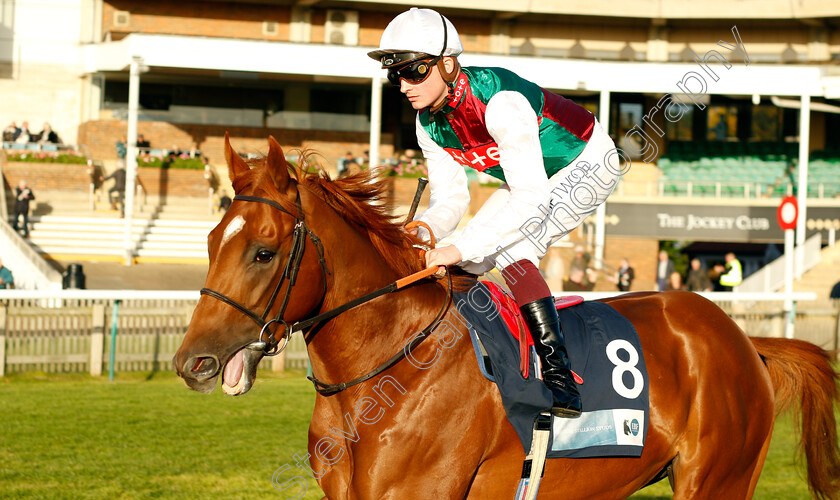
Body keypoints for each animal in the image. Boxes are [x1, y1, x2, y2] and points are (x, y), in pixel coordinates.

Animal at [174, 137, 836, 500]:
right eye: (208, 240)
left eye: (263, 252)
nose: (191, 362)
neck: (387, 374)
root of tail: (742, 339)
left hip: (719, 479)